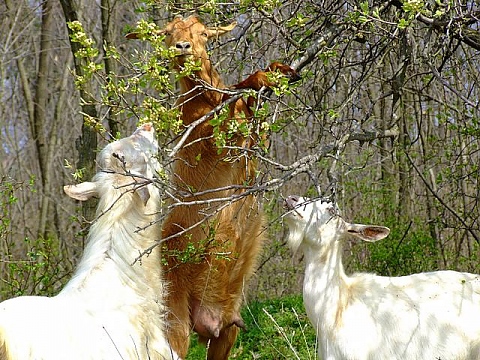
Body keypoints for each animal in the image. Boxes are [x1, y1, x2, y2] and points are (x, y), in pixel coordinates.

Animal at [127, 14, 300, 360]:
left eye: (204, 33)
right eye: (167, 33)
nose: (183, 47)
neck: (205, 98)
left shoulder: (253, 141)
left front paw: (276, 71)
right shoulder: (210, 138)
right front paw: (259, 77)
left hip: (226, 329)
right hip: (175, 325)